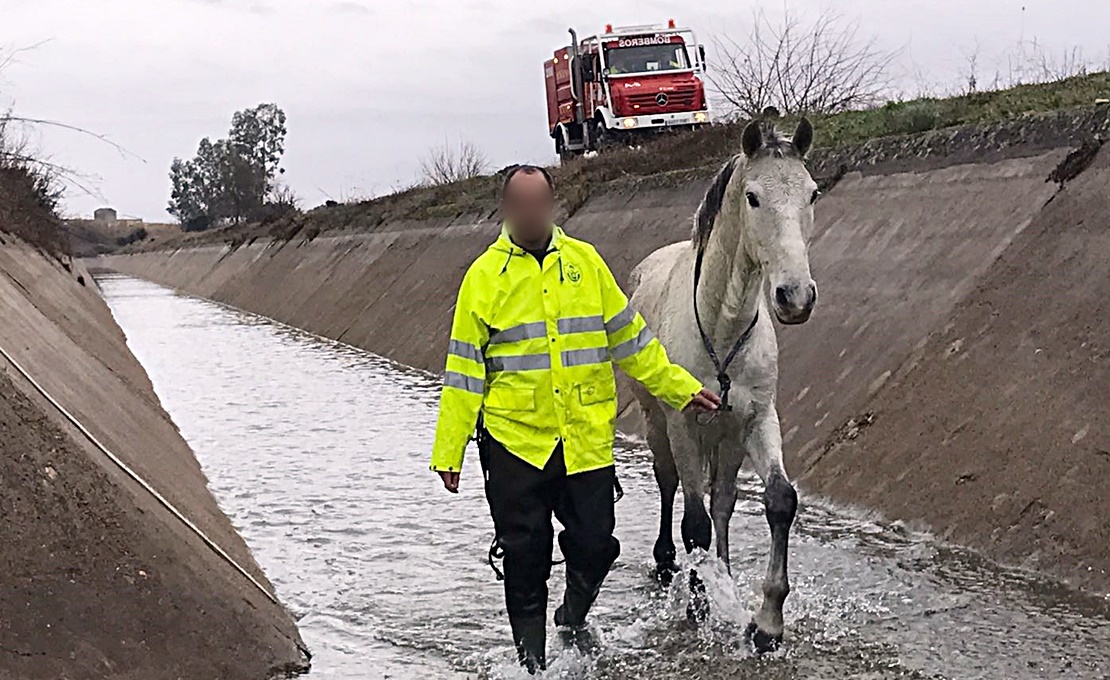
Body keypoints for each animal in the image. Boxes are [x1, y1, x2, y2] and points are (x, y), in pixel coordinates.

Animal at [630, 119, 821, 647]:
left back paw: (725, 573)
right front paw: (698, 604)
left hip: (727, 435)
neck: (722, 325)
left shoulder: (756, 418)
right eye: (753, 197)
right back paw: (667, 563)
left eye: (812, 193)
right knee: (670, 484)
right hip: (658, 423)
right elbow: (693, 519)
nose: (795, 296)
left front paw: (767, 621)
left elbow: (778, 500)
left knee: (723, 503)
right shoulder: (683, 422)